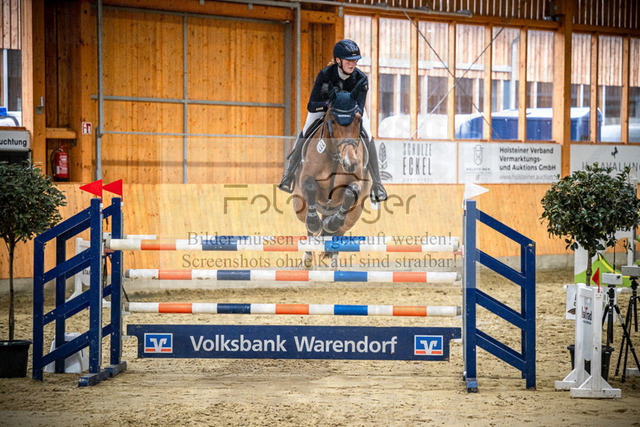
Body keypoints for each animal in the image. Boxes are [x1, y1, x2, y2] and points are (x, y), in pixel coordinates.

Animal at [292, 82, 372, 268]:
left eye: (358, 120)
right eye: (333, 121)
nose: (350, 162)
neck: (336, 156)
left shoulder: (356, 184)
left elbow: (351, 191)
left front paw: (331, 223)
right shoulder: (306, 179)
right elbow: (311, 187)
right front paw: (315, 223)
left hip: (354, 214)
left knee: (340, 230)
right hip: (299, 204)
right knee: (308, 227)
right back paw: (307, 257)